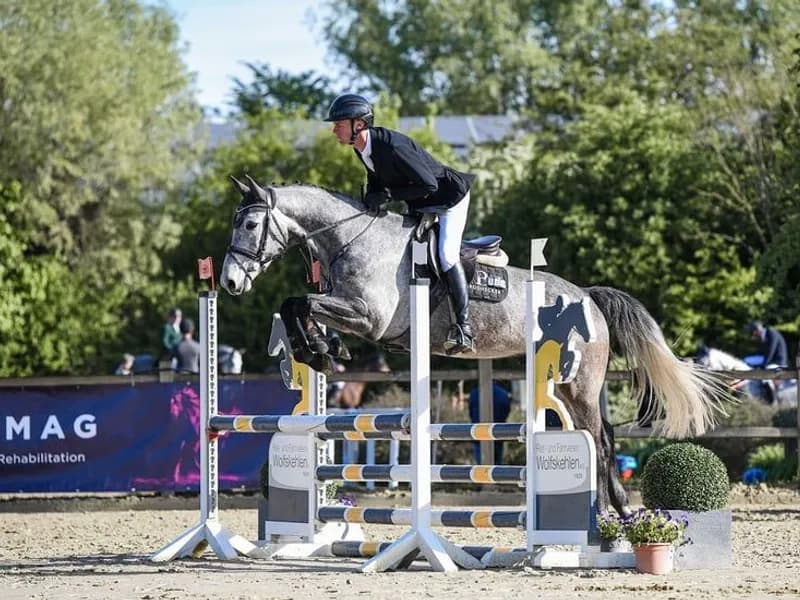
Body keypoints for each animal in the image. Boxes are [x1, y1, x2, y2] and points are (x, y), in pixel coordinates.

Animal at [220, 176, 726, 515]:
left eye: (250, 224)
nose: (227, 282)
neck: (352, 239)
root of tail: (588, 297)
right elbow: (296, 305)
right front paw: (319, 349)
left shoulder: (369, 317)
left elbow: (299, 302)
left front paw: (319, 351)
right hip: (565, 386)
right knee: (602, 435)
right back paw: (613, 510)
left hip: (580, 383)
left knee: (599, 439)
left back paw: (608, 512)